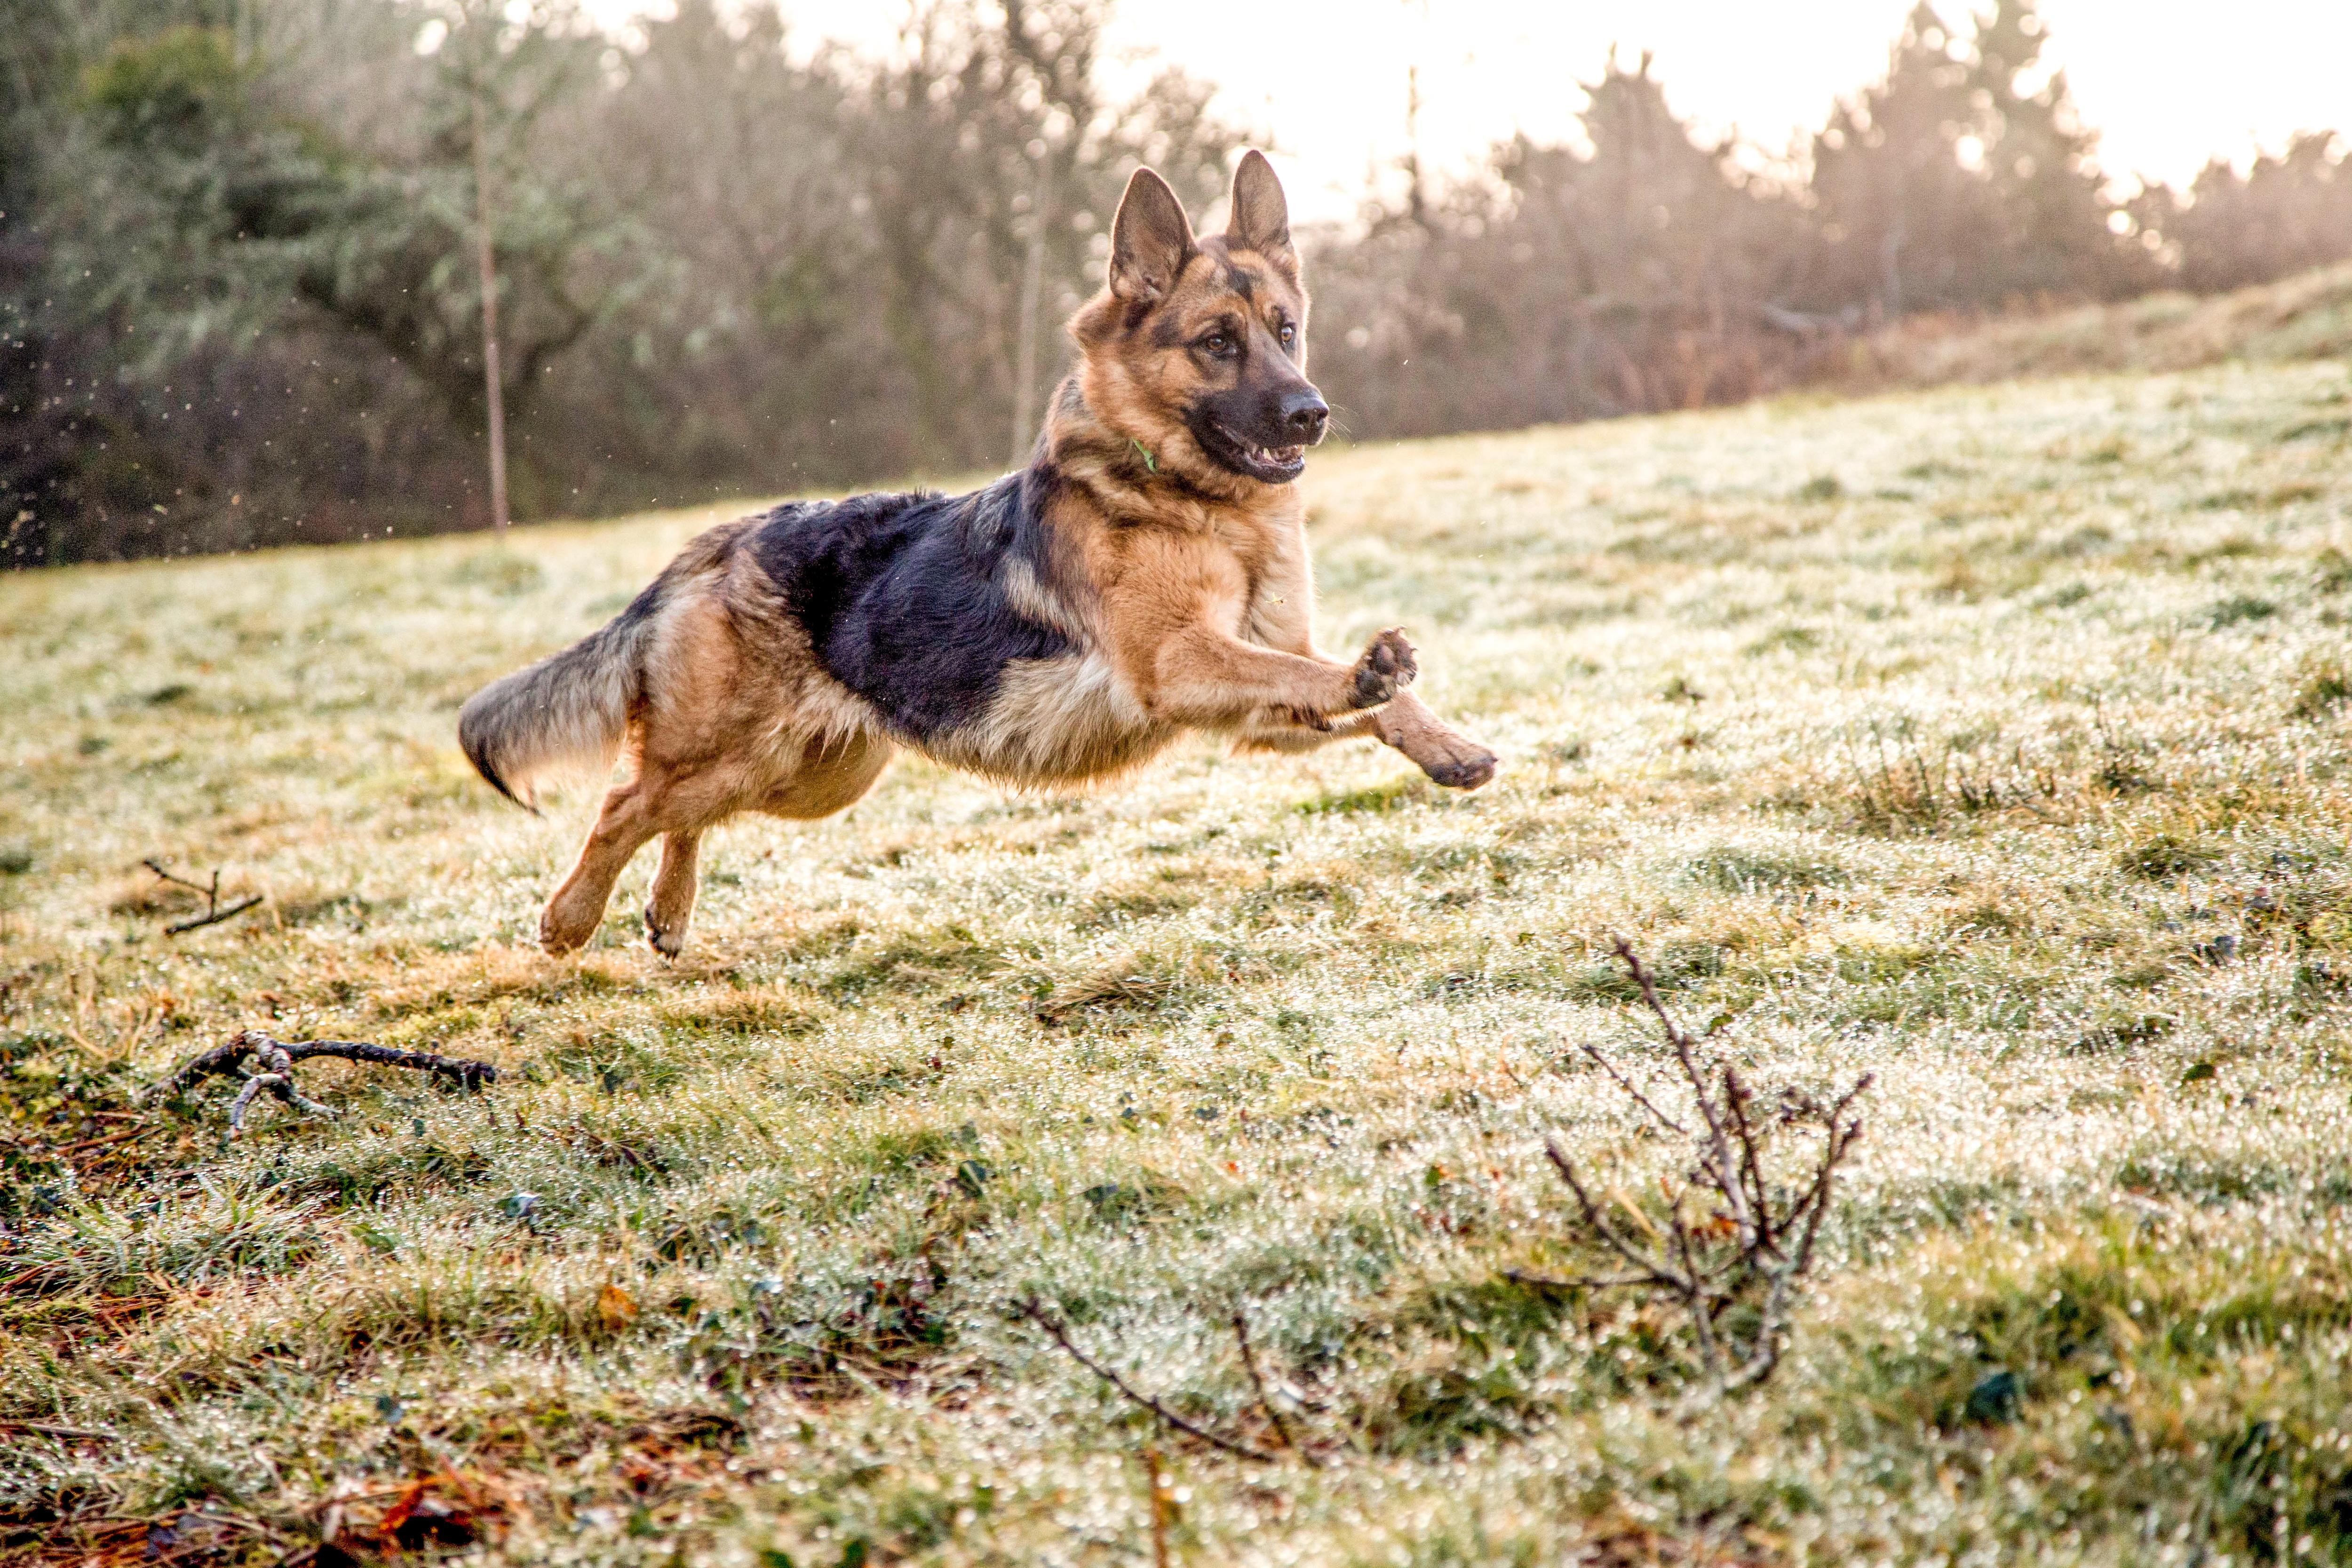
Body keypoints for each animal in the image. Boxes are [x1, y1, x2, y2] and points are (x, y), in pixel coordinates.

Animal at [449, 152, 1496, 959]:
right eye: (1215, 343)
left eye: (1286, 331)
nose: (1312, 414)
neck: (1186, 499)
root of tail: (723, 539)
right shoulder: (1184, 664)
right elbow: (1324, 675)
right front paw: (1373, 677)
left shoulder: (1251, 702)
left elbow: (1360, 694)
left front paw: (1443, 744)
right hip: (735, 752)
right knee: (627, 801)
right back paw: (568, 920)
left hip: (807, 777)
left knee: (681, 814)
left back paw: (667, 912)